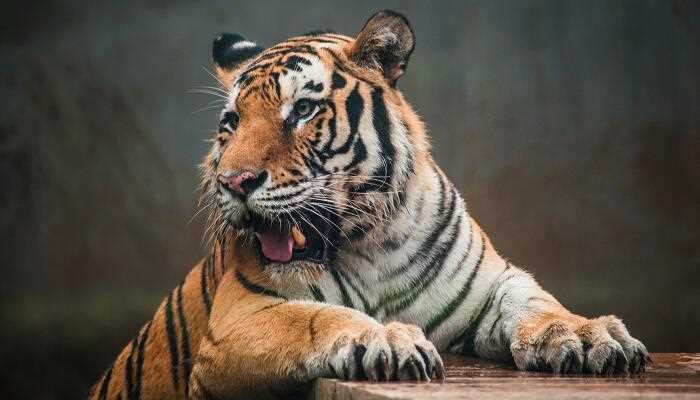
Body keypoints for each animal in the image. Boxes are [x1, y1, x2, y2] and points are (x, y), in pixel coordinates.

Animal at [90, 10, 650, 400]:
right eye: (231, 123)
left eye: (303, 109)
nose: (233, 182)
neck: (373, 242)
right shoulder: (239, 317)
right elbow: (315, 317)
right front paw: (388, 340)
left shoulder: (493, 283)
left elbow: (537, 303)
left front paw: (587, 335)